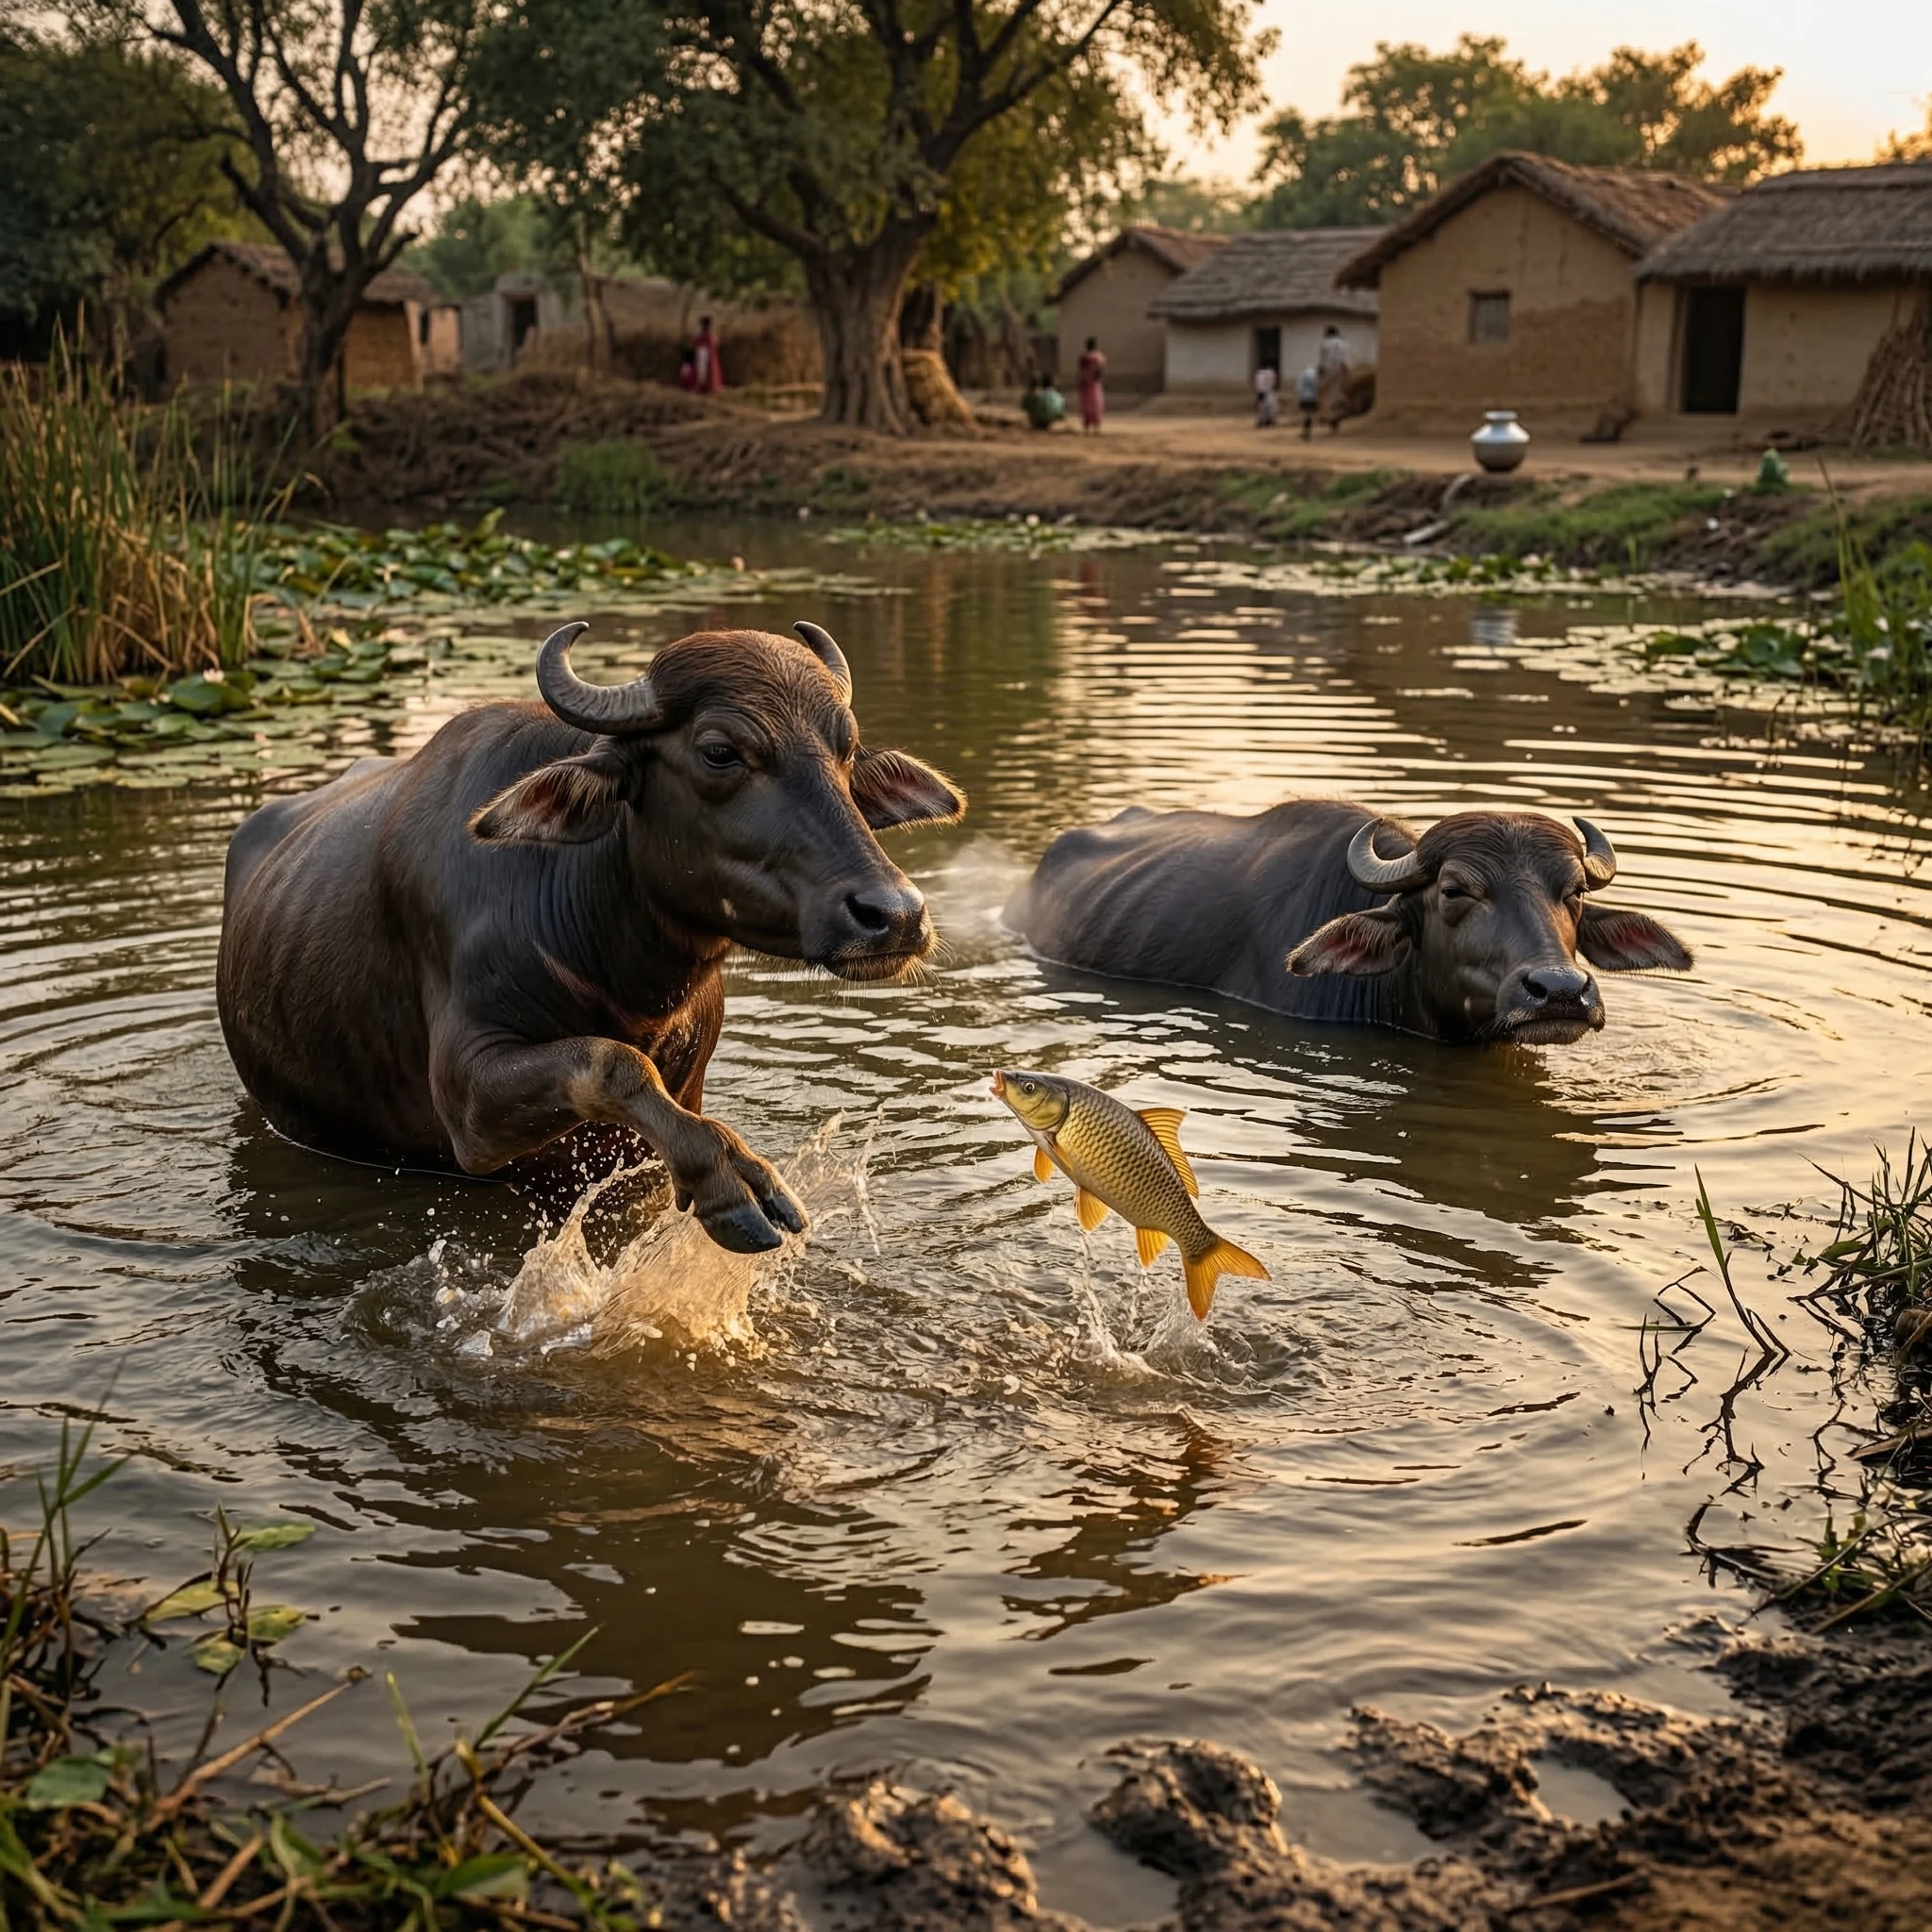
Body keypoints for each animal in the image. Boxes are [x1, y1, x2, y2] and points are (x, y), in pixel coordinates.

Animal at [217, 620, 963, 1251]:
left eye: (847, 750)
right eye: (720, 751)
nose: (894, 914)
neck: (624, 977)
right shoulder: (470, 1108)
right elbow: (612, 1062)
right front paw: (731, 1178)